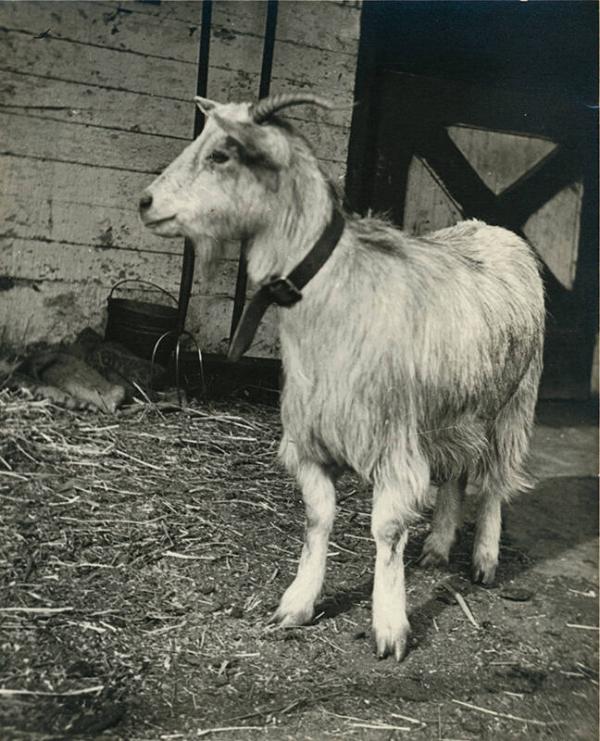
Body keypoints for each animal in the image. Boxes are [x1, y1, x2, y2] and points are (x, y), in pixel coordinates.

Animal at [139, 94, 545, 660]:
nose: (145, 202)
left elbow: (386, 531)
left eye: (222, 154)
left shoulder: (393, 447)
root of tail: (493, 228)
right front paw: (298, 603)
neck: (334, 290)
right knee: (456, 476)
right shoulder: (310, 439)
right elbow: (318, 519)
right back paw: (439, 546)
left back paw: (484, 557)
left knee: (495, 483)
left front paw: (390, 626)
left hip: (513, 404)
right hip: (451, 413)